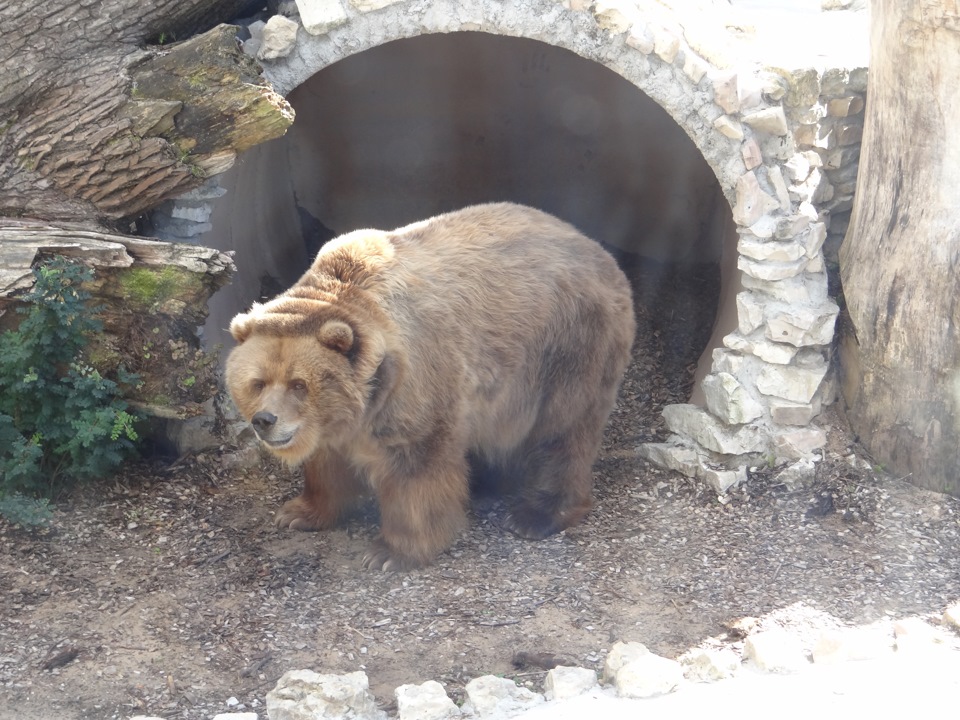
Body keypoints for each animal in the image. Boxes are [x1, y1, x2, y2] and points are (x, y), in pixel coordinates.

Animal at [225, 201, 636, 568]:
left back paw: (536, 514)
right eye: (258, 382)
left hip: (568, 345)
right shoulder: (333, 422)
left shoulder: (415, 385)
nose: (265, 420)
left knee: (563, 429)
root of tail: (600, 253)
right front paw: (298, 512)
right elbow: (327, 463)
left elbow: (417, 468)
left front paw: (391, 552)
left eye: (299, 384)